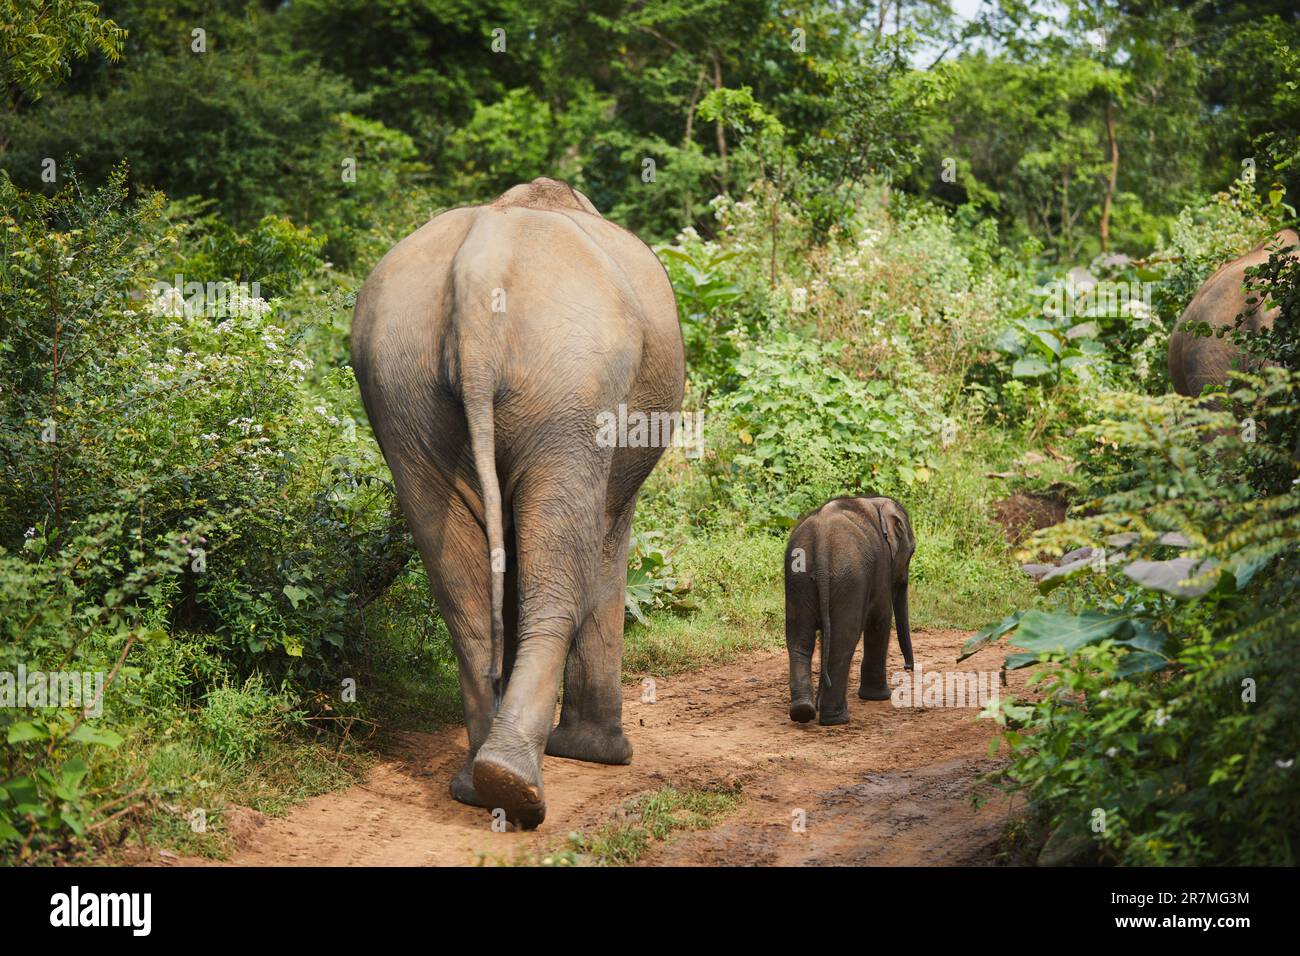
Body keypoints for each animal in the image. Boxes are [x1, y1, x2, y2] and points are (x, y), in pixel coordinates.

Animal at [351, 179, 686, 832]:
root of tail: (479, 272)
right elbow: (607, 540)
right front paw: (601, 756)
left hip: (402, 386)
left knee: (461, 585)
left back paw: (481, 786)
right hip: (573, 384)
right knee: (561, 563)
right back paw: (518, 788)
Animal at [780, 494, 915, 723]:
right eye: (912, 551)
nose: (908, 668)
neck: (874, 501)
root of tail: (821, 541)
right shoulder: (881, 569)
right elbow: (880, 620)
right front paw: (879, 697)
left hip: (798, 577)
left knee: (799, 640)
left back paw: (804, 711)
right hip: (849, 577)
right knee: (843, 640)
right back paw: (836, 719)